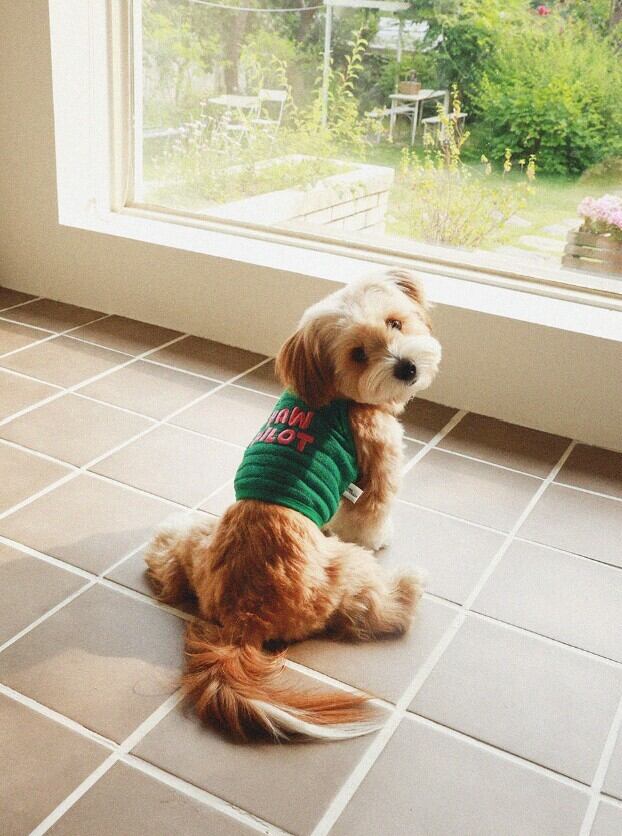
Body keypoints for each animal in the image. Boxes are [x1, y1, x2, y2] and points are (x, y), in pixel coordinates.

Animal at [145, 268, 442, 741]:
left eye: (396, 323)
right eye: (358, 354)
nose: (406, 367)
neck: (336, 396)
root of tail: (241, 621)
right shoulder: (376, 459)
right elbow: (372, 515)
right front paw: (381, 535)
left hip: (203, 539)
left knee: (173, 559)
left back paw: (164, 541)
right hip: (346, 571)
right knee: (376, 610)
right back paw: (407, 588)